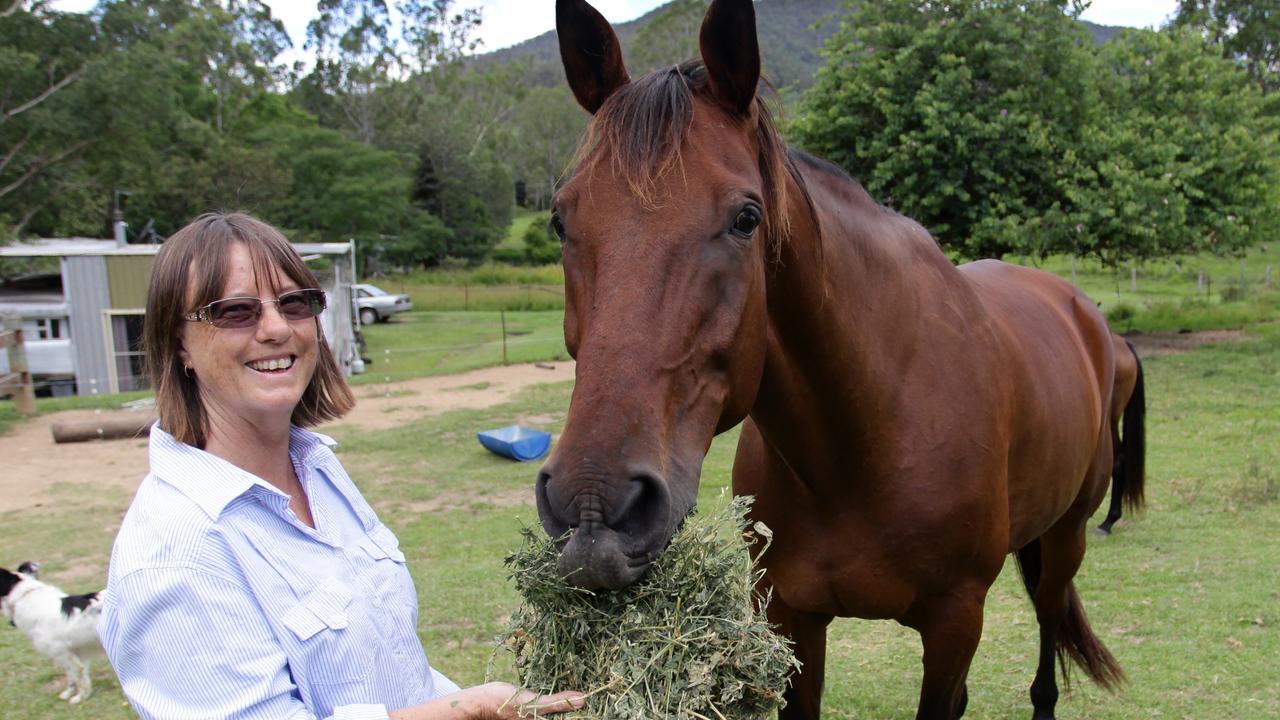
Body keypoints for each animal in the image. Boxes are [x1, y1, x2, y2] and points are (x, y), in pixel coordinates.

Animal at [1, 561, 102, 702]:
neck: (23, 596)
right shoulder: (78, 651)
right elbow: (80, 675)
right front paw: (78, 694)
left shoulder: (62, 652)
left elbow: (76, 675)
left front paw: (78, 697)